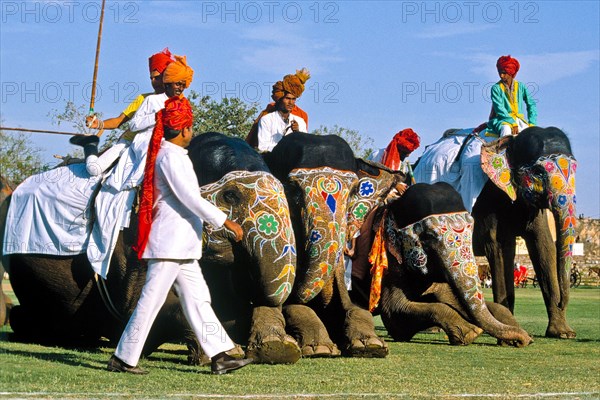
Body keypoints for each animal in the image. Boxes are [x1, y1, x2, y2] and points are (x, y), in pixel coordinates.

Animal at [262, 133, 404, 358]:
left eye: (354, 190)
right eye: (292, 189)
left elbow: (355, 308)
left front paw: (371, 346)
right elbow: (290, 306)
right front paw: (320, 349)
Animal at [350, 182, 532, 346]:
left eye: (471, 230)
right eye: (428, 236)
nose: (522, 341)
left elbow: (449, 297)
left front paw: (519, 336)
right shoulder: (391, 266)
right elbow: (395, 316)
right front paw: (471, 332)